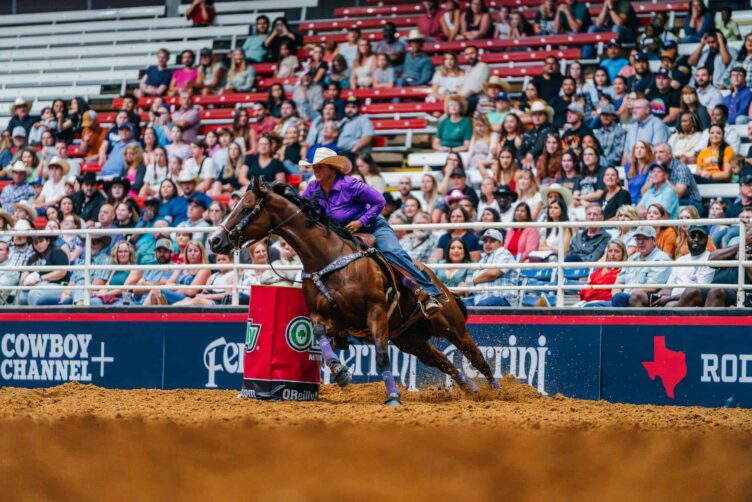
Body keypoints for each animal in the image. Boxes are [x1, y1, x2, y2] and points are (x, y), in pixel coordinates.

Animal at [207, 178, 500, 406]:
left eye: (246, 207)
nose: (214, 240)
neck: (327, 257)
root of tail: (440, 283)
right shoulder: (326, 316)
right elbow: (320, 334)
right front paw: (340, 372)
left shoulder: (376, 312)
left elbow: (381, 355)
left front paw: (393, 397)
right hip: (411, 340)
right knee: (444, 361)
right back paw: (472, 391)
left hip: (451, 327)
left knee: (477, 358)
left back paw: (499, 393)